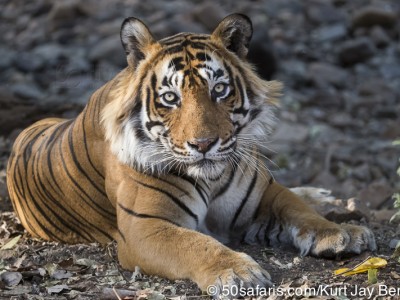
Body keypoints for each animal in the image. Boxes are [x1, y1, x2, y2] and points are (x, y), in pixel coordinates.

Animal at [7, 14, 376, 292]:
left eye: (220, 89)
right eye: (171, 98)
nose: (203, 145)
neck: (211, 180)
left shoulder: (264, 193)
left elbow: (297, 207)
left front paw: (337, 232)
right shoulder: (146, 227)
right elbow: (194, 243)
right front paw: (237, 271)